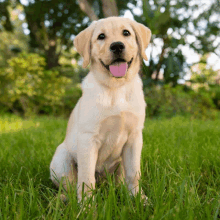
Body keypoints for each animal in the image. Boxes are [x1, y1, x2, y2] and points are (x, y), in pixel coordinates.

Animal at [49, 16, 151, 202]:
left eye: (126, 33)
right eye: (101, 36)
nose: (117, 46)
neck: (116, 88)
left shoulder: (134, 138)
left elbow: (134, 173)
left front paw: (139, 199)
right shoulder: (88, 139)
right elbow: (86, 179)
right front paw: (87, 206)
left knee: (120, 179)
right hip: (61, 159)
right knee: (70, 185)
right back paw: (63, 200)